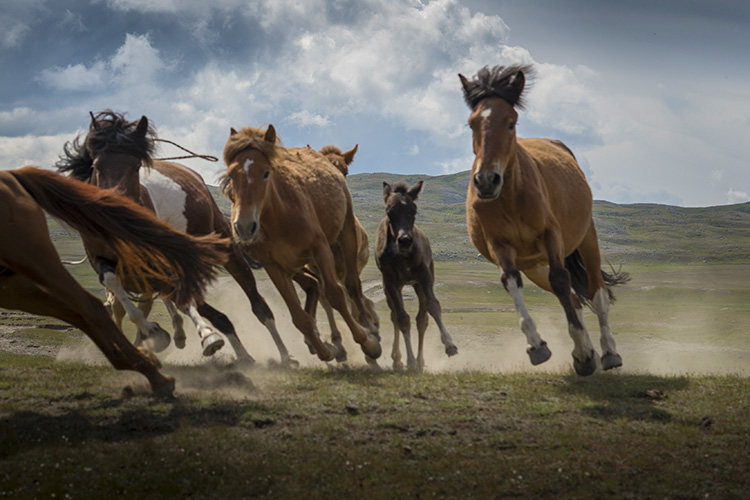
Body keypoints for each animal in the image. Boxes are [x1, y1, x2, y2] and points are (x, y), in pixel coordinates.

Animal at [56, 110, 296, 368]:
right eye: (97, 165)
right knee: (208, 310)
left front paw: (206, 337)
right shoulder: (105, 262)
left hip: (228, 251)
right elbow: (119, 290)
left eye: (136, 166)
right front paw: (154, 333)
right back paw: (241, 354)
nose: (114, 205)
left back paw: (285, 355)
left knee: (258, 305)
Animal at [217, 125, 382, 364]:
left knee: (352, 285)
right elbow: (298, 316)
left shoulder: (320, 249)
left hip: (346, 233)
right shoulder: (274, 266)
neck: (279, 217)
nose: (245, 227)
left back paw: (370, 329)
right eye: (231, 175)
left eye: (266, 172)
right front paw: (326, 350)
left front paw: (367, 342)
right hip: (294, 266)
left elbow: (336, 295)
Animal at [376, 180, 458, 372]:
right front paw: (410, 360)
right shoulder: (390, 282)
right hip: (392, 288)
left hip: (417, 284)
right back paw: (398, 360)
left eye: (413, 210)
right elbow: (402, 319)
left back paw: (420, 361)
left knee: (422, 319)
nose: (405, 240)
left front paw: (449, 344)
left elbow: (433, 307)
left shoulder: (423, 276)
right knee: (394, 317)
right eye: (389, 212)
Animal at [458, 64, 628, 376]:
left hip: (586, 239)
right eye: (472, 124)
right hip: (534, 266)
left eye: (511, 122)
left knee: (596, 294)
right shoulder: (500, 245)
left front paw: (584, 348)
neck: (511, 198)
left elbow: (562, 280)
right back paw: (585, 357)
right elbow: (511, 282)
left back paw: (609, 352)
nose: (486, 180)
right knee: (572, 298)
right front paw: (538, 347)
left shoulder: (552, 236)